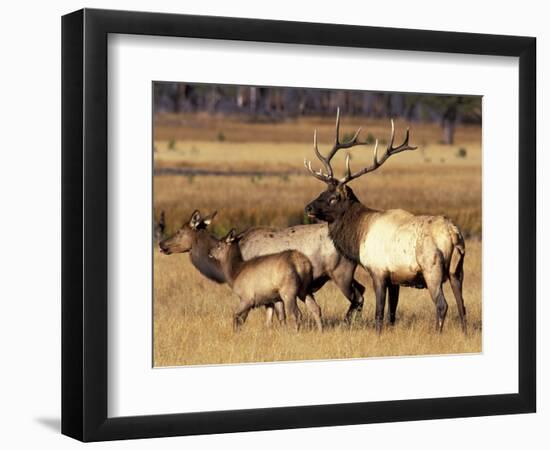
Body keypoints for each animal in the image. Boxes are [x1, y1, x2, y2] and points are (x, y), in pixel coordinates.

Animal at [304, 109, 468, 334]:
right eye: (322, 191)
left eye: (334, 198)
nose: (308, 208)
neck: (359, 235)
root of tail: (453, 234)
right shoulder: (395, 279)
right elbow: (392, 313)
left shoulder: (378, 271)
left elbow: (379, 312)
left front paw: (378, 334)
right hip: (457, 270)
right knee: (462, 306)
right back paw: (465, 334)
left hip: (432, 268)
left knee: (442, 305)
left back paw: (437, 333)